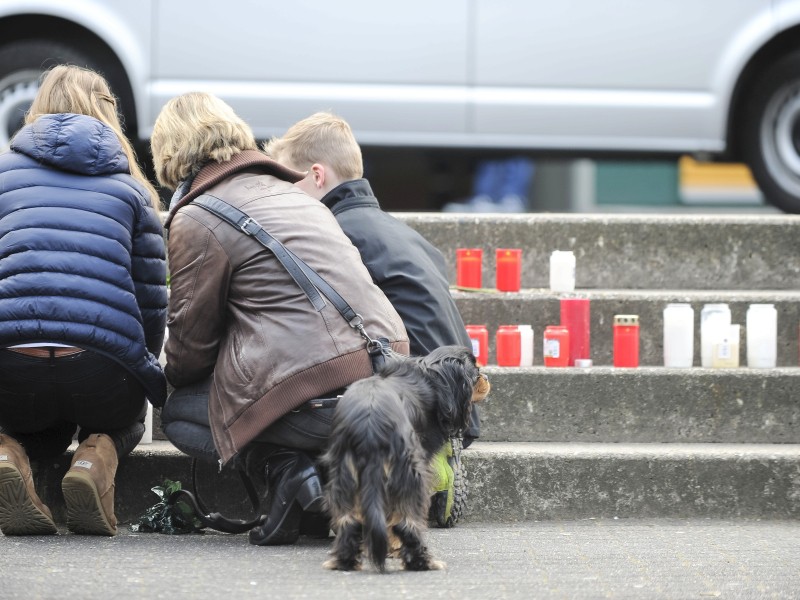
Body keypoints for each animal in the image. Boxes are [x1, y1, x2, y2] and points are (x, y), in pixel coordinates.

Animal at [318, 344, 488, 568]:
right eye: (475, 372)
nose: (487, 377)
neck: (431, 377)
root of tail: (370, 423)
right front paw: (394, 547)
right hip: (408, 472)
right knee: (405, 520)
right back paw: (420, 561)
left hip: (344, 473)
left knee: (349, 518)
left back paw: (345, 560)